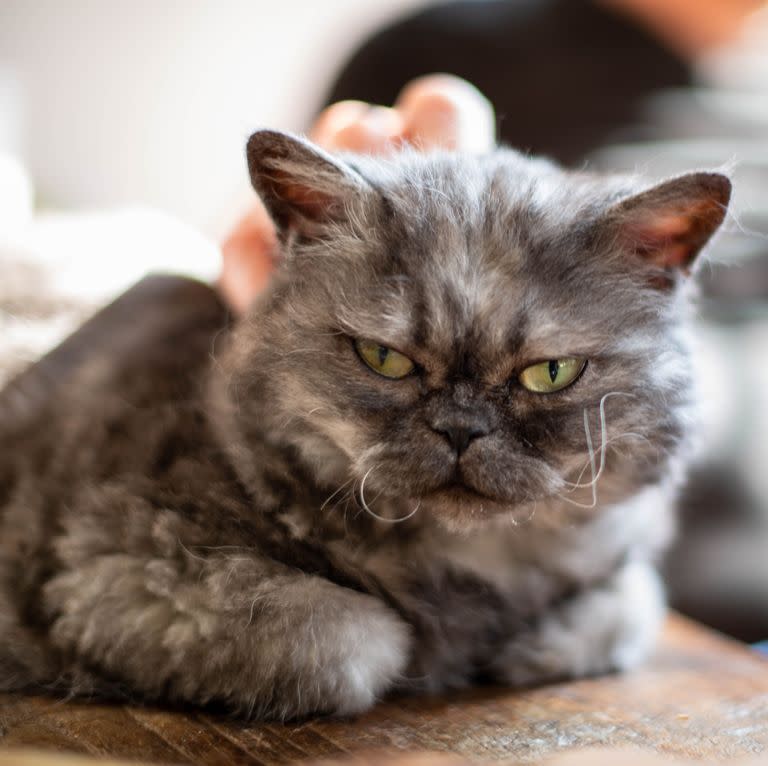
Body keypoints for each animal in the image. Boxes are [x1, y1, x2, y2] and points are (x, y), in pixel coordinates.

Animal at [0, 132, 732, 720]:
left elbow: (631, 604)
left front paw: (530, 645)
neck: (466, 564)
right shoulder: (115, 572)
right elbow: (360, 637)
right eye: (385, 359)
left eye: (550, 373)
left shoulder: (623, 558)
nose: (460, 430)